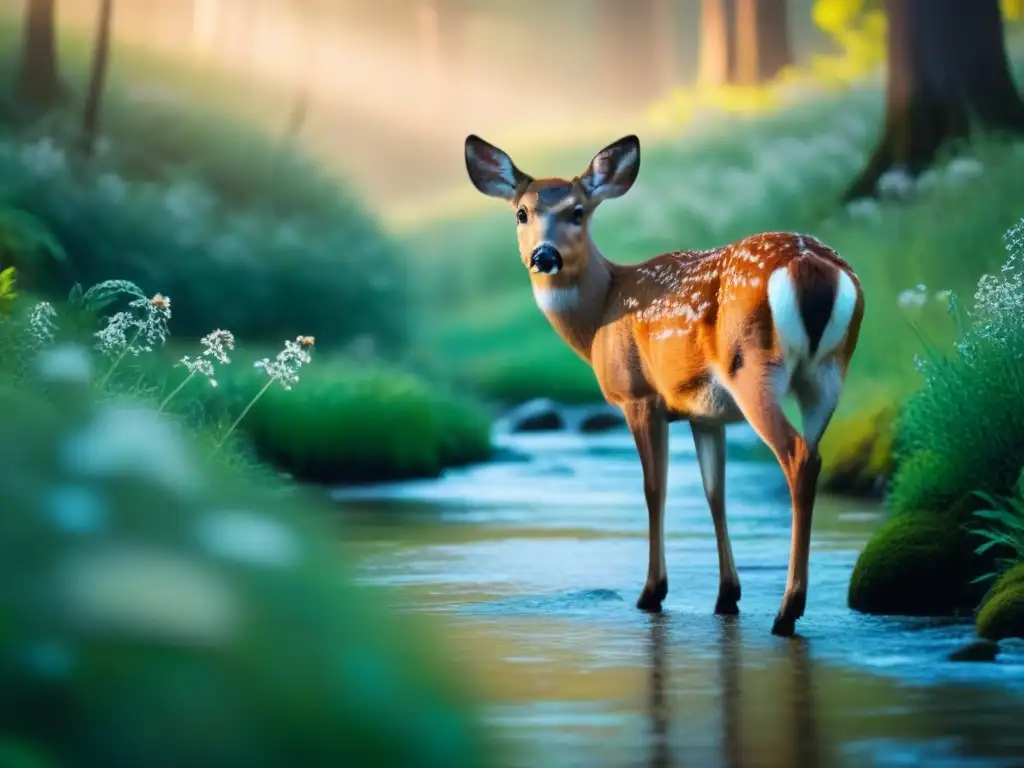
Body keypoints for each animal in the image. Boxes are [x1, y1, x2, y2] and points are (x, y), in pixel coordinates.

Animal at [464, 132, 864, 638]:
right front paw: (727, 597)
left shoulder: (640, 397)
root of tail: (812, 267)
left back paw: (787, 610)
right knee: (813, 456)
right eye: (522, 212)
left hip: (753, 368)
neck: (601, 313)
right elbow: (715, 492)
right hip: (830, 372)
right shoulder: (705, 412)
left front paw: (652, 593)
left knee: (795, 455)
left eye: (578, 211)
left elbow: (654, 488)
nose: (544, 256)